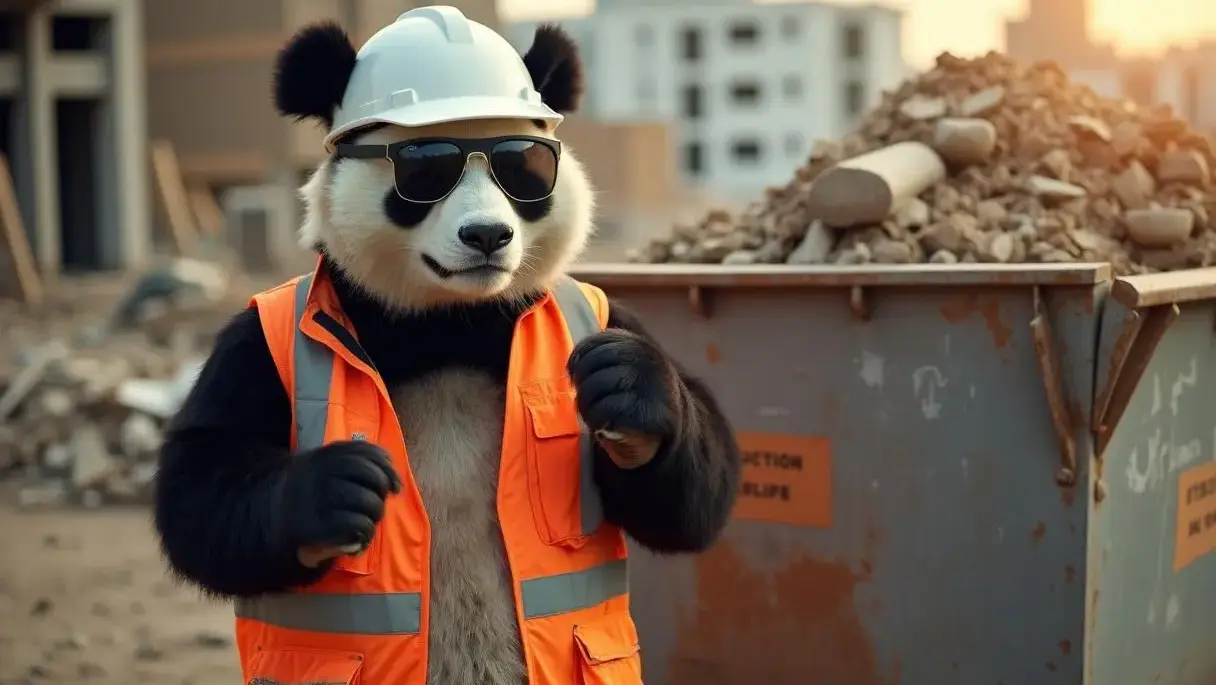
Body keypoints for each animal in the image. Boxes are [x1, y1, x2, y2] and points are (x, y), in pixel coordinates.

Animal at [152, 7, 741, 685]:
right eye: (424, 170)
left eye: (524, 169)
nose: (487, 234)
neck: (446, 321)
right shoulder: (255, 347)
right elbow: (199, 484)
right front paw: (330, 491)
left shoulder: (607, 313)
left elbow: (686, 506)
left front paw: (629, 389)